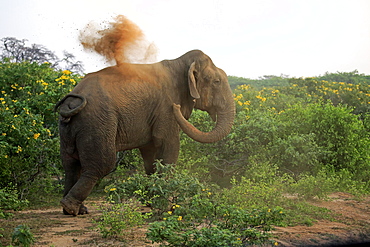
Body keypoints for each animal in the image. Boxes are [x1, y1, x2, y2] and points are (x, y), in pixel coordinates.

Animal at [54, 50, 234, 216]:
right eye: (216, 81)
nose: (175, 107)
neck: (180, 63)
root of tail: (70, 102)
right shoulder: (165, 109)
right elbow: (169, 148)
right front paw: (165, 207)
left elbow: (150, 155)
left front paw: (151, 202)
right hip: (97, 122)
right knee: (101, 165)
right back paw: (70, 208)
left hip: (69, 128)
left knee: (71, 166)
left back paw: (76, 210)